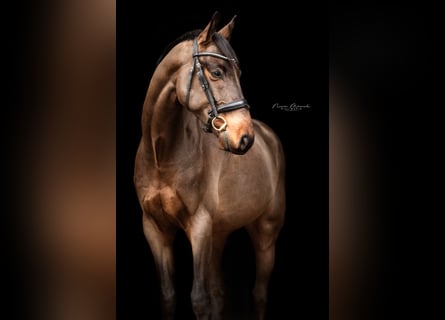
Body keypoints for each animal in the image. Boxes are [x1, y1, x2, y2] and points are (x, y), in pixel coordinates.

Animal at [134, 12, 284, 320]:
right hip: (218, 235)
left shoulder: (199, 226)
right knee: (219, 293)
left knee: (258, 294)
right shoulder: (154, 228)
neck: (161, 156)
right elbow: (169, 295)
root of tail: (268, 136)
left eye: (239, 73)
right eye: (216, 72)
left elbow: (200, 299)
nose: (244, 137)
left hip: (265, 235)